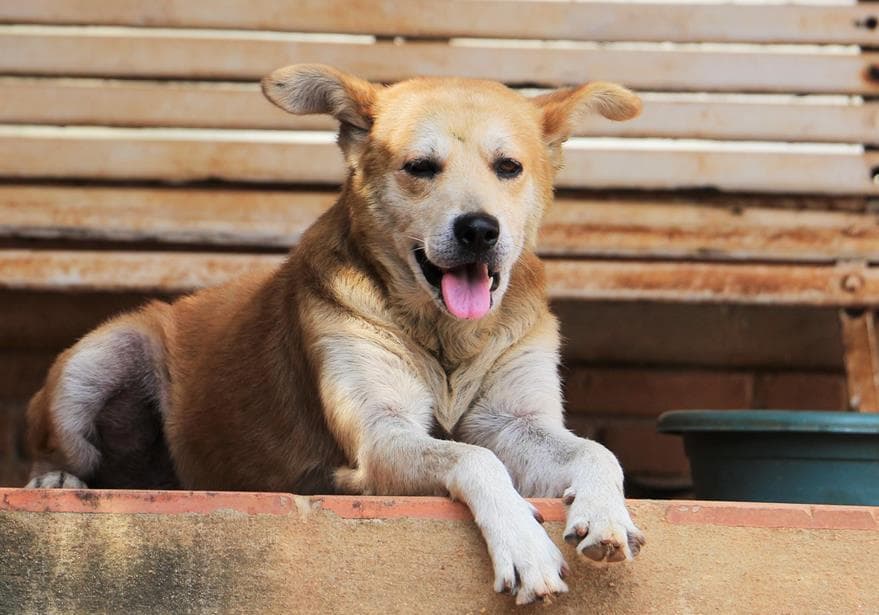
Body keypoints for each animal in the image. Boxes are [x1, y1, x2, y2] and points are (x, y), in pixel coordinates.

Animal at [25, 65, 648, 604]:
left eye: (509, 167)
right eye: (420, 167)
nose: (478, 230)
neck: (446, 337)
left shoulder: (516, 422)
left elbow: (597, 451)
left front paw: (606, 512)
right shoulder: (380, 438)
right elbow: (474, 459)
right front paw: (524, 545)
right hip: (100, 357)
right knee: (59, 445)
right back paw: (54, 479)